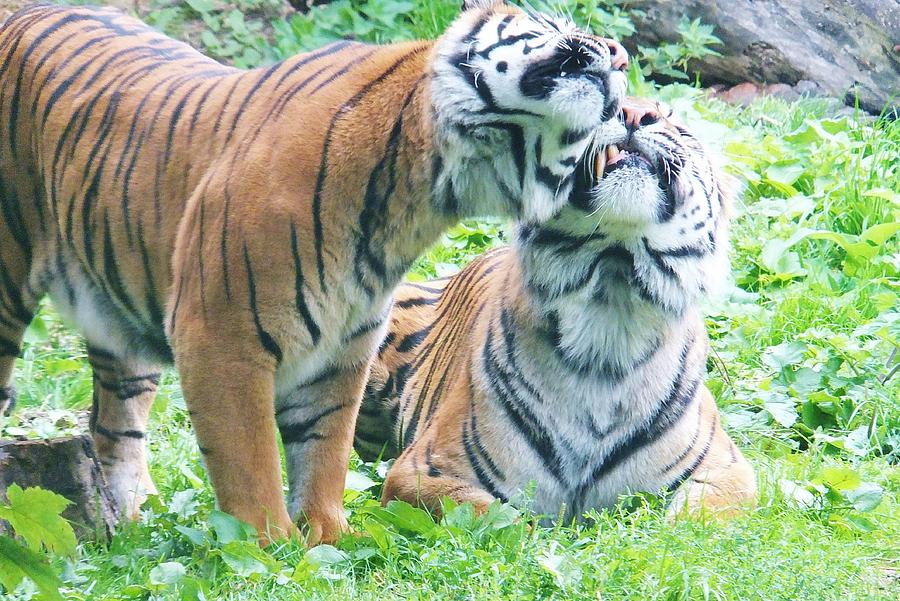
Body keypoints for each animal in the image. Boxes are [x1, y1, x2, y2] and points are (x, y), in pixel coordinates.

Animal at [0, 0, 629, 544]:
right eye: (552, 24)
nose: (623, 56)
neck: (428, 191)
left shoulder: (342, 346)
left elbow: (324, 448)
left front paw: (327, 536)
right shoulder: (219, 334)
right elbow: (249, 456)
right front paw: (263, 546)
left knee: (115, 423)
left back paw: (125, 523)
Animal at [355, 98, 758, 520]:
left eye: (677, 124)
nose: (633, 113)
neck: (612, 299)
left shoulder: (729, 471)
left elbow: (691, 520)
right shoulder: (422, 472)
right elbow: (506, 521)